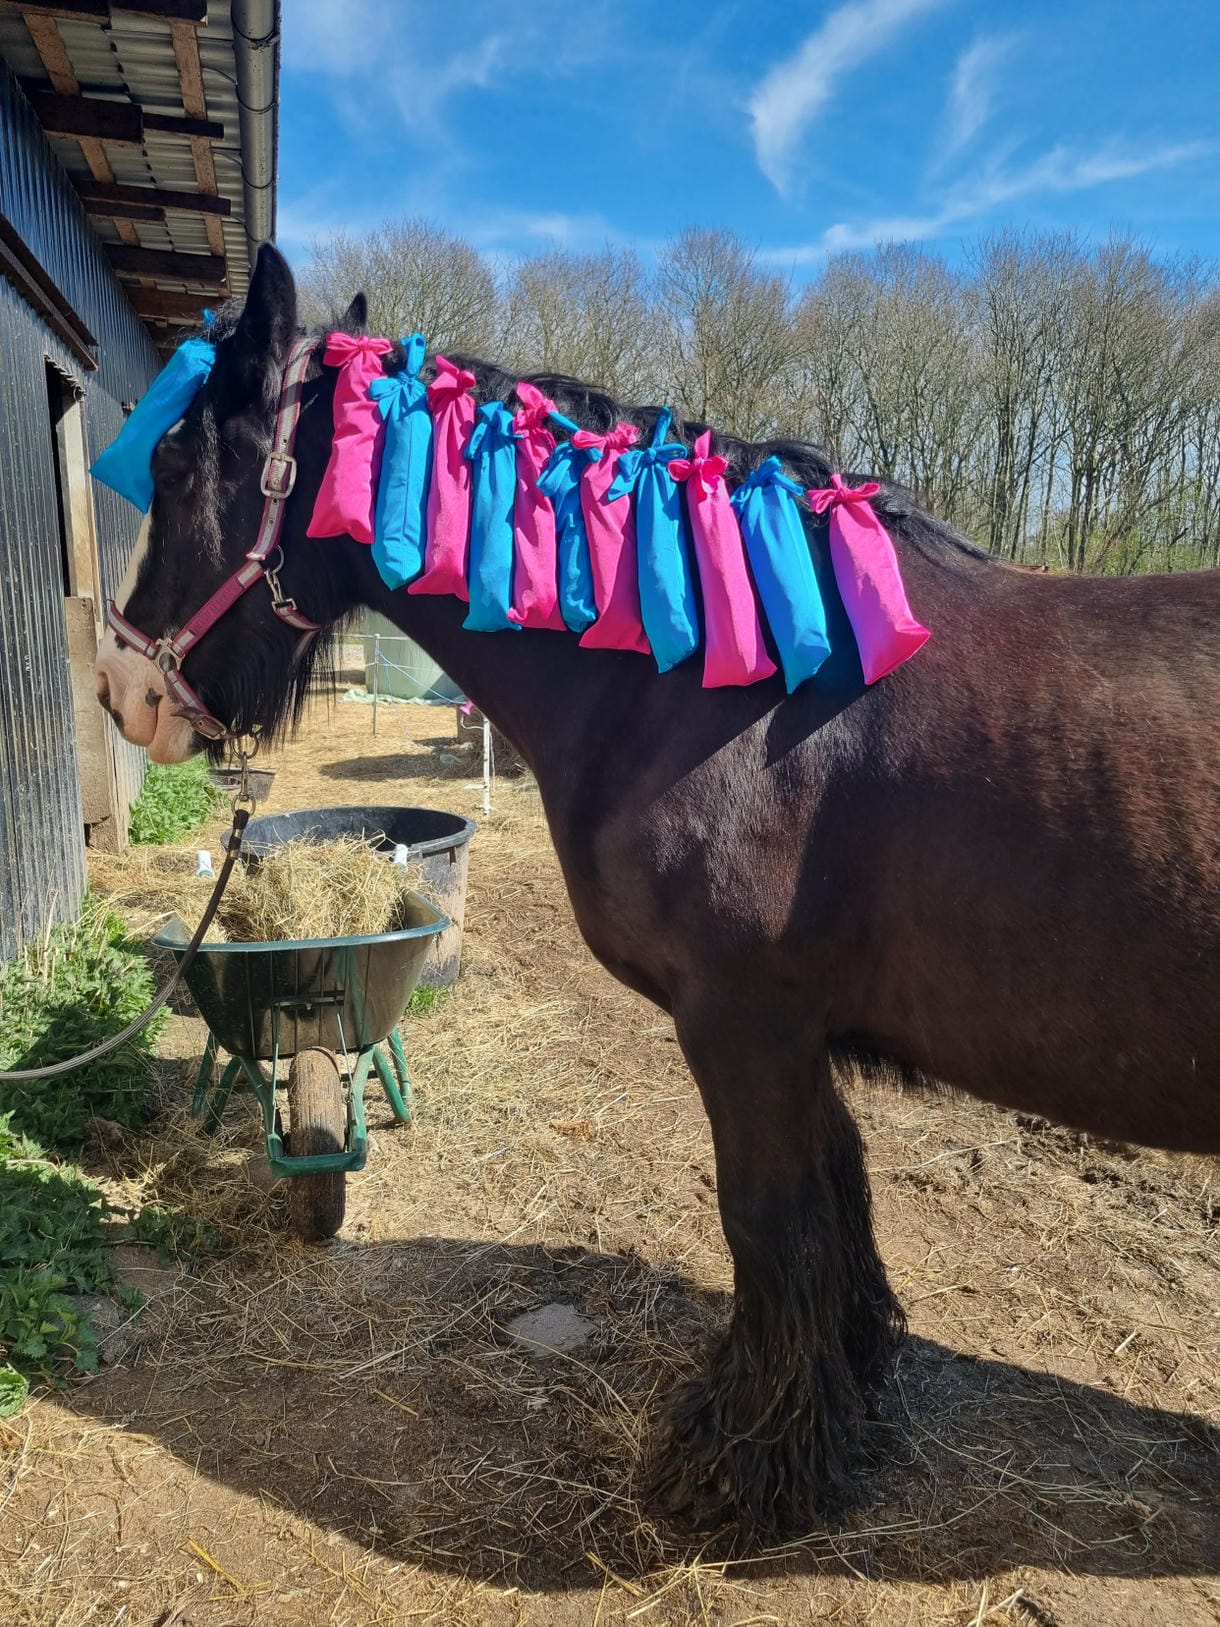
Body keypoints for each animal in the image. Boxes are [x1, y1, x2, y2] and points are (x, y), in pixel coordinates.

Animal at [94, 244, 1220, 1540]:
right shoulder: (794, 1038)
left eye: (176, 465)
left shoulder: (742, 1024)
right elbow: (832, 1211)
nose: (125, 688)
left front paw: (744, 1470)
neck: (729, 692)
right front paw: (837, 1397)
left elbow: (769, 1223)